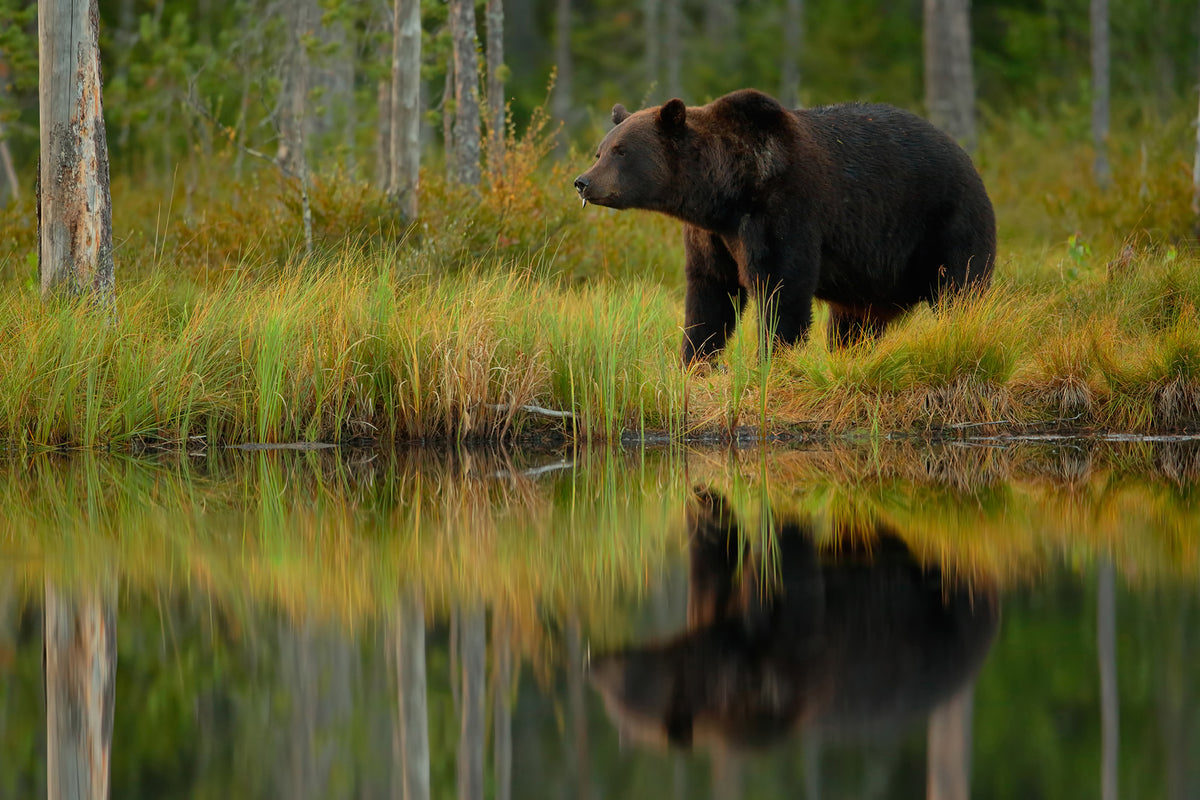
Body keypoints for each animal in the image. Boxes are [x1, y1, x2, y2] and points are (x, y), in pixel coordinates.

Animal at [573, 89, 997, 366]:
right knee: (852, 323)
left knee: (961, 289)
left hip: (945, 222)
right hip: (871, 279)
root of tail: (969, 159)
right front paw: (695, 361)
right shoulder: (712, 237)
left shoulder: (783, 210)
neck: (725, 192)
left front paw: (773, 360)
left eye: (621, 151)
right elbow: (710, 295)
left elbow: (782, 288)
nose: (583, 181)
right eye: (600, 150)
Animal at [587, 487, 999, 751]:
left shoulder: (791, 662)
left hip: (945, 606)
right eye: (609, 702)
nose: (592, 663)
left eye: (615, 691)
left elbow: (789, 569)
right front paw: (706, 505)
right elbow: (715, 552)